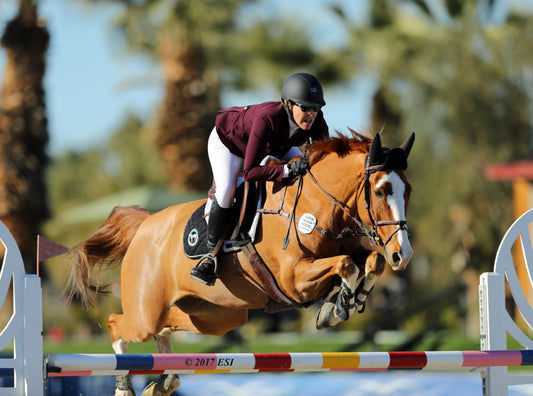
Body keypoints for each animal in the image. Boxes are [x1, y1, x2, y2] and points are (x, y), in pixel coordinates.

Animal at [66, 131, 414, 396]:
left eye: (407, 190)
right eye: (381, 190)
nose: (404, 255)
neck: (313, 205)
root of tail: (145, 224)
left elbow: (370, 261)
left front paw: (348, 300)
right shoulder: (294, 281)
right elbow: (346, 264)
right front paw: (338, 307)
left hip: (215, 315)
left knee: (166, 325)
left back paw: (164, 382)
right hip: (146, 312)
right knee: (117, 323)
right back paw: (125, 387)